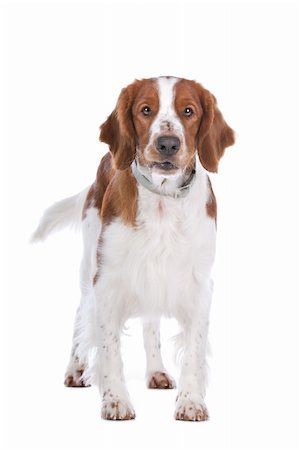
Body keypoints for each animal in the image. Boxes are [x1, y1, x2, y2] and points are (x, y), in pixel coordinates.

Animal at [32, 76, 234, 422]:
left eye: (189, 111)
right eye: (145, 110)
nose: (168, 143)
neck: (163, 202)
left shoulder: (196, 283)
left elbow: (193, 349)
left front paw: (191, 401)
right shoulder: (107, 281)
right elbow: (109, 347)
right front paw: (115, 401)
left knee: (150, 324)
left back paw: (156, 372)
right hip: (89, 266)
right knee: (80, 313)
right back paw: (76, 369)